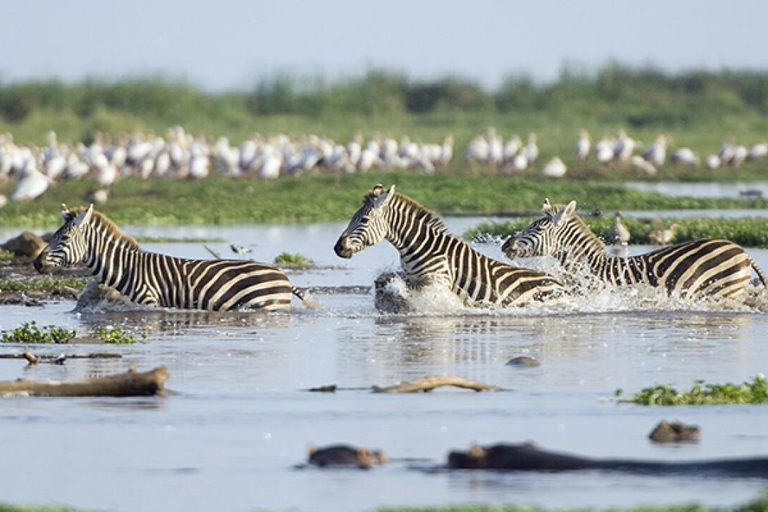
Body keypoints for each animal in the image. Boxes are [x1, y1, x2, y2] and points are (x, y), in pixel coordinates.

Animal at [34, 204, 306, 312]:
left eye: (64, 238)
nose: (36, 263)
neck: (126, 268)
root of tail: (284, 277)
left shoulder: (150, 301)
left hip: (267, 305)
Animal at [332, 185, 560, 308]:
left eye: (364, 220)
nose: (337, 248)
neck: (419, 248)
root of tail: (560, 283)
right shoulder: (411, 275)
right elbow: (384, 279)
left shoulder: (437, 281)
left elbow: (411, 290)